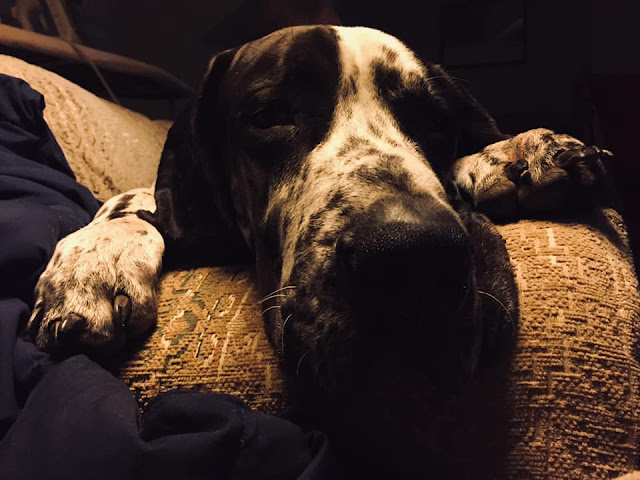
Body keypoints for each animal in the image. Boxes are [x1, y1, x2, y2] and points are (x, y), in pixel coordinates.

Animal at [27, 26, 611, 476]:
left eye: (434, 122)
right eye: (268, 115)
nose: (411, 258)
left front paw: (516, 151)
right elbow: (134, 203)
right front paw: (96, 258)